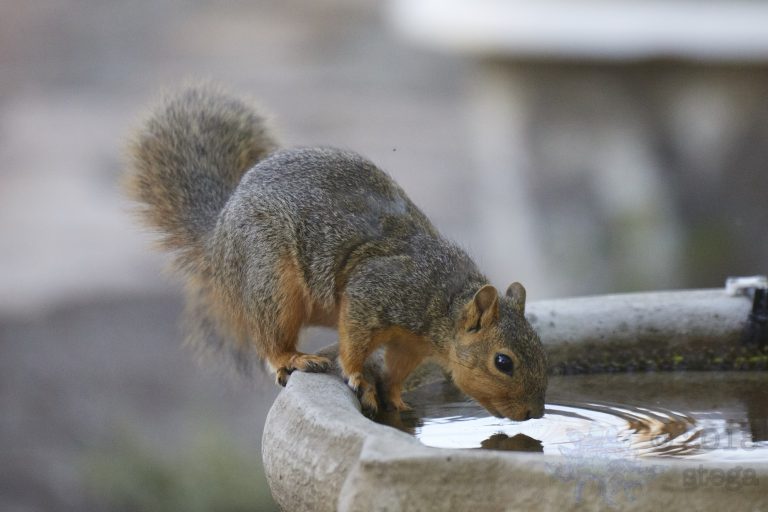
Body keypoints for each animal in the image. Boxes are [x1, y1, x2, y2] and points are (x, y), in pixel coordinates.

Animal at [125, 84, 548, 421]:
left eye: (541, 348)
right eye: (503, 362)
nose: (534, 413)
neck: (443, 300)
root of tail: (217, 240)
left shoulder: (409, 343)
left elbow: (398, 369)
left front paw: (395, 398)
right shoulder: (373, 293)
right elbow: (355, 343)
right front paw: (360, 376)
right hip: (270, 277)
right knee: (270, 340)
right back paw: (293, 358)